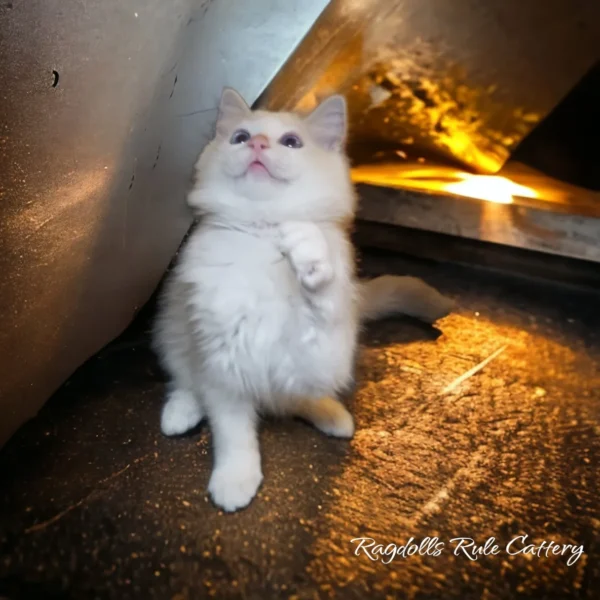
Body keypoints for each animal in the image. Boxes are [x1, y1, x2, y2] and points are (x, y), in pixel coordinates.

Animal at [152, 88, 452, 510]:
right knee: (185, 379)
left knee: (300, 396)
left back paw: (333, 415)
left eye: (291, 142)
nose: (258, 144)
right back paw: (181, 412)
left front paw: (306, 250)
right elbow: (233, 435)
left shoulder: (321, 343)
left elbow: (319, 292)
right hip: (173, 332)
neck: (263, 235)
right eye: (240, 137)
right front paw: (235, 481)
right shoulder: (222, 364)